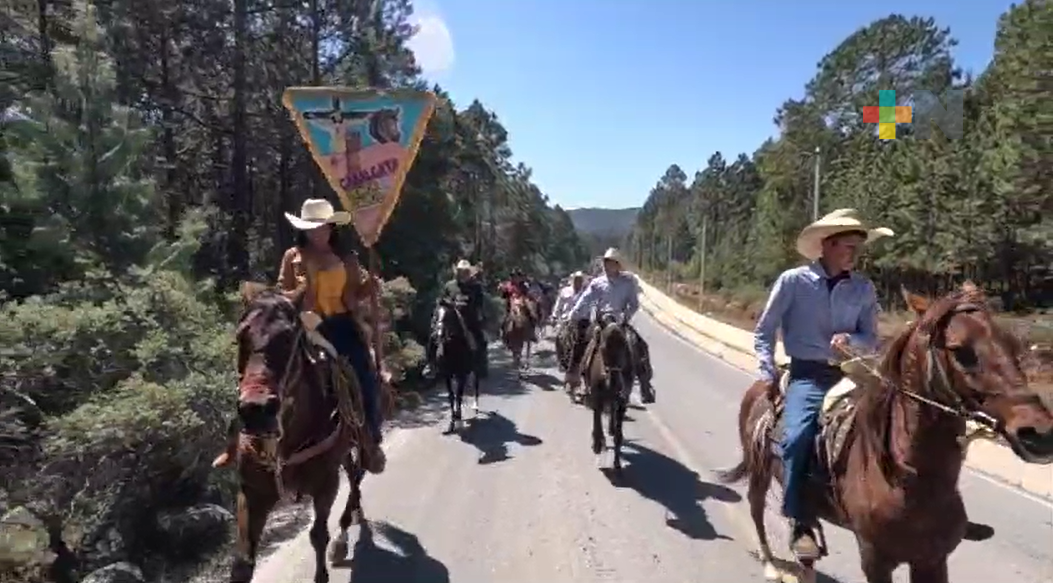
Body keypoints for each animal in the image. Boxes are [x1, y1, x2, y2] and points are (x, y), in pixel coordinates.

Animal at [209, 282, 370, 580]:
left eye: (288, 338)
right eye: (240, 337)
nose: (256, 410)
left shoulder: (326, 484)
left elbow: (318, 536)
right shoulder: (252, 492)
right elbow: (242, 563)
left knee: (355, 476)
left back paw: (345, 532)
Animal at [433, 298, 480, 431]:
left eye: (448, 316)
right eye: (436, 314)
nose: (438, 335)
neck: (453, 347)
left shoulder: (461, 374)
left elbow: (458, 395)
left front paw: (458, 418)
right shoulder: (447, 375)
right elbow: (451, 396)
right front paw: (452, 422)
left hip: (475, 369)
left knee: (475, 385)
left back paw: (475, 406)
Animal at [585, 315, 631, 473]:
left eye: (624, 345)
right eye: (604, 348)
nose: (615, 383)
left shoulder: (622, 401)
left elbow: (618, 435)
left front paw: (617, 463)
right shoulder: (596, 396)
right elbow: (597, 419)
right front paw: (597, 444)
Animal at [720, 282, 1053, 580]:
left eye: (1013, 347)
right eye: (960, 351)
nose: (1038, 433)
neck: (908, 477)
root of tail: (764, 385)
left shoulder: (932, 560)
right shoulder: (875, 560)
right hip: (760, 473)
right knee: (756, 509)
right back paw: (770, 565)